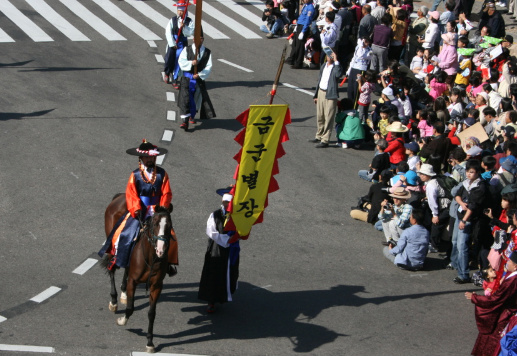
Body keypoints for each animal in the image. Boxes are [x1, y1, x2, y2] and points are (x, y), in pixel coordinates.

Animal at [102, 195, 174, 354]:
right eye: (155, 224)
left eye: (169, 226)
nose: (161, 250)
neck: (151, 257)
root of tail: (119, 197)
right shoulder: (133, 281)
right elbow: (130, 307)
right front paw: (122, 320)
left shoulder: (156, 286)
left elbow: (152, 313)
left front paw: (150, 342)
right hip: (113, 247)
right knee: (112, 270)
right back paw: (114, 300)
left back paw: (123, 294)